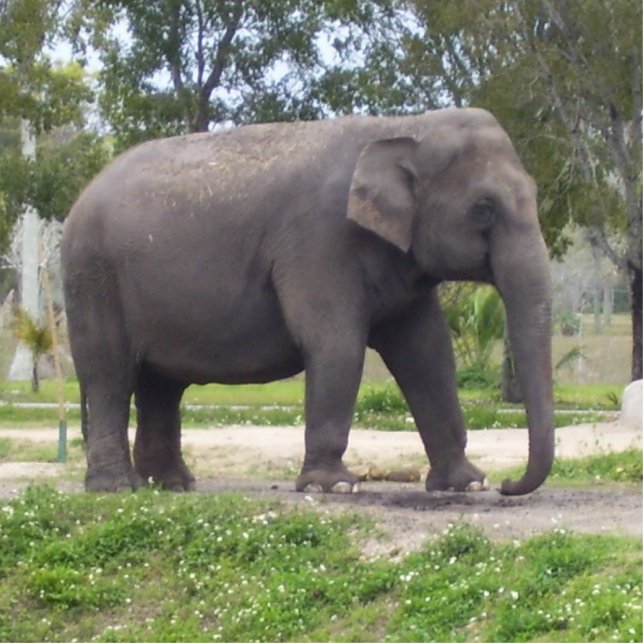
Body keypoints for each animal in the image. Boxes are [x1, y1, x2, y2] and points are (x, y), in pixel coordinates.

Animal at [61, 107, 554, 496]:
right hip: (92, 278)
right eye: (484, 209)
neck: (403, 126)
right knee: (109, 373)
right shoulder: (318, 240)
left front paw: (466, 484)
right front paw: (333, 486)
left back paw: (172, 485)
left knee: (160, 383)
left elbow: (429, 353)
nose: (508, 485)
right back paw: (116, 487)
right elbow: (335, 342)